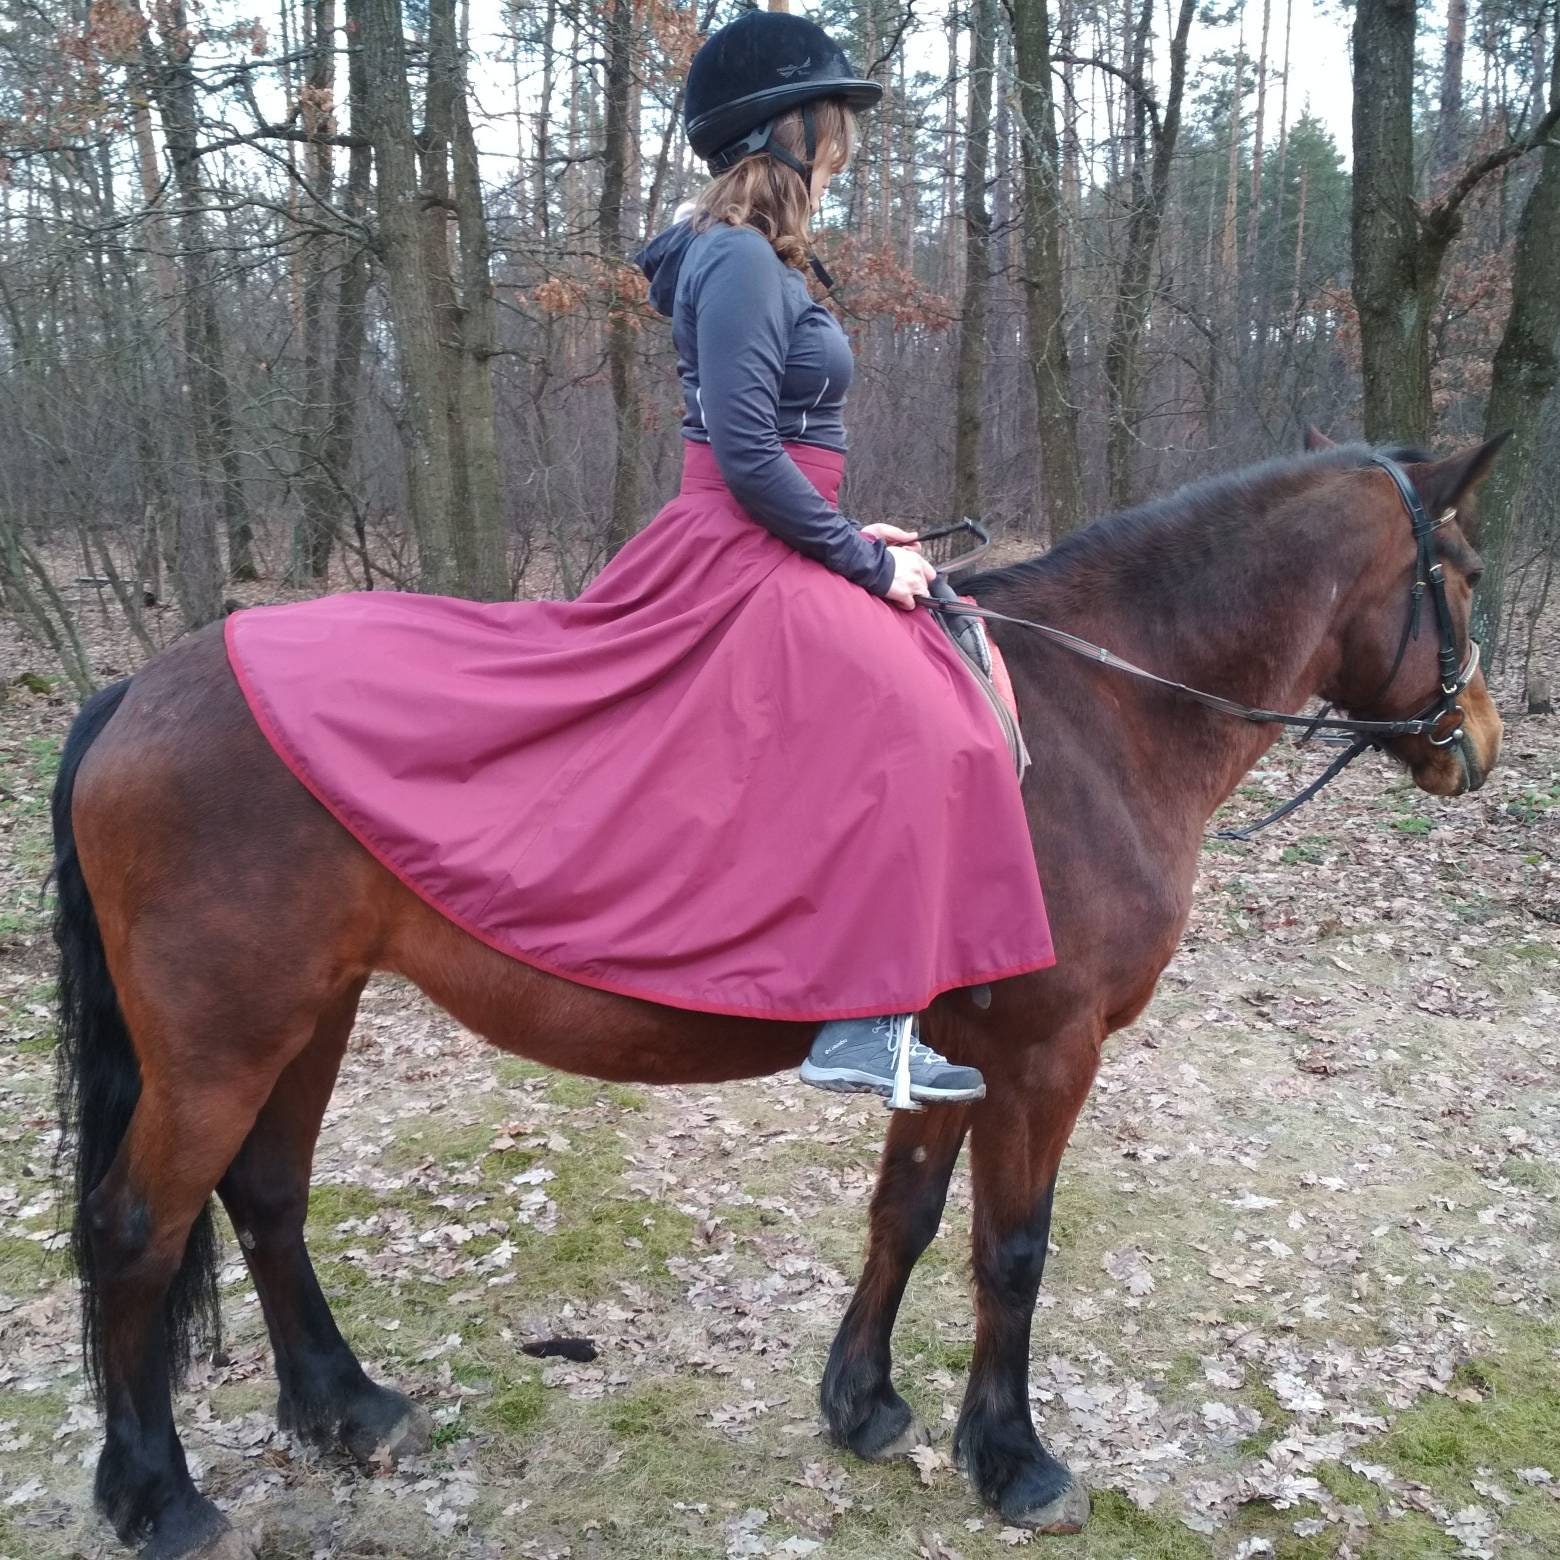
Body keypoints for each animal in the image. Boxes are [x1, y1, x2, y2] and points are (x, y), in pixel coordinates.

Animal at [50, 440, 1504, 1558]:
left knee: (266, 1197)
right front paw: (1014, 1461)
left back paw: (344, 1409)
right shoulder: (1048, 1055)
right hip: (222, 1044)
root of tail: (141, 689)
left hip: (310, 1016)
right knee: (134, 1230)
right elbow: (1013, 1253)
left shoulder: (957, 1053)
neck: (1095, 710)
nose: (1481, 745)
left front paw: (862, 1406)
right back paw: (157, 1497)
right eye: (1469, 577)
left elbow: (906, 1216)